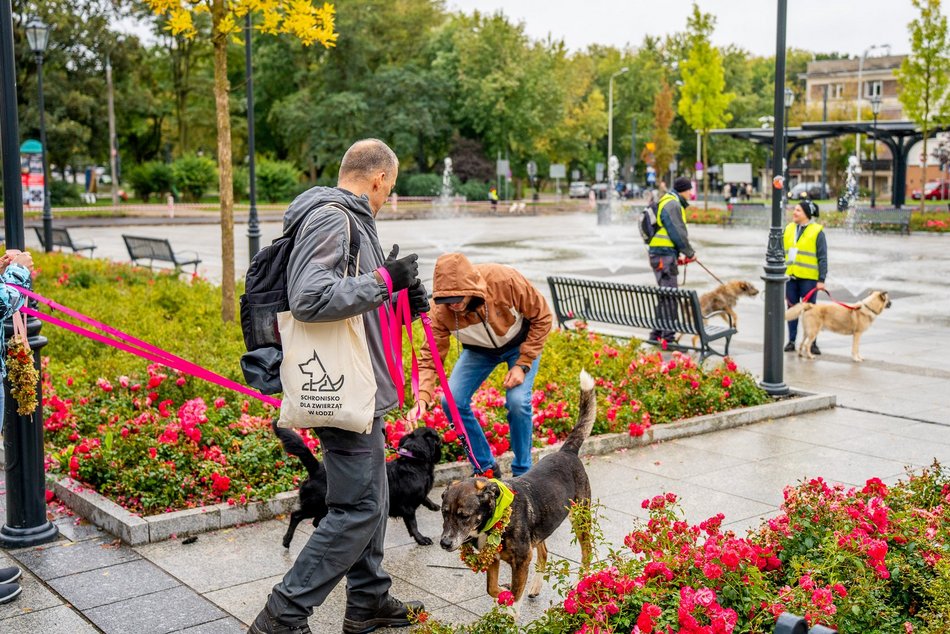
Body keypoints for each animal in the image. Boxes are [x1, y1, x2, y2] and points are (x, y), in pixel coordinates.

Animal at [272, 422, 442, 544]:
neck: (413, 462)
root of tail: (316, 468)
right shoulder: (407, 508)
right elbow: (413, 525)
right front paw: (421, 539)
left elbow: (425, 497)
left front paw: (434, 505)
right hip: (315, 504)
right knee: (296, 515)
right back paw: (287, 540)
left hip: (323, 507)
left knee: (315, 521)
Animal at [438, 370, 596, 608]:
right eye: (444, 513)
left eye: (464, 516)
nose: (444, 543)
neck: (496, 517)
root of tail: (567, 451)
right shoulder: (493, 558)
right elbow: (492, 588)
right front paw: (503, 593)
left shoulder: (522, 560)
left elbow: (515, 595)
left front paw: (511, 608)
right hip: (540, 527)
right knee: (544, 552)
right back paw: (536, 587)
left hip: (580, 517)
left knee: (586, 553)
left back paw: (581, 586)